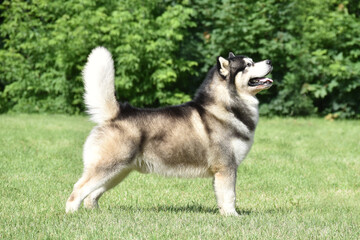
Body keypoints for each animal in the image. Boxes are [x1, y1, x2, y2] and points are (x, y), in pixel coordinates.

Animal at [65, 47, 272, 216]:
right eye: (248, 64)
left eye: (253, 61)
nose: (270, 61)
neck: (226, 105)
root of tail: (118, 113)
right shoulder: (226, 167)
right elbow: (230, 195)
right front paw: (233, 216)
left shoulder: (222, 171)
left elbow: (222, 196)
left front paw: (225, 214)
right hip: (107, 167)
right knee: (78, 189)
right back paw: (71, 213)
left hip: (118, 172)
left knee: (91, 195)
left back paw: (95, 213)